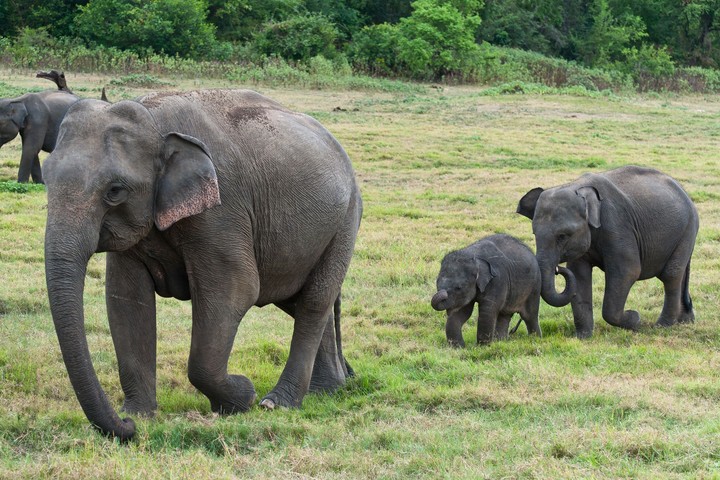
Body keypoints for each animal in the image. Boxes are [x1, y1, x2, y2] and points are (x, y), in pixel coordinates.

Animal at [43, 89, 362, 441]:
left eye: (115, 191)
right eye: (45, 178)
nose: (125, 426)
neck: (153, 119)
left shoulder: (222, 210)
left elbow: (236, 289)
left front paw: (242, 396)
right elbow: (126, 300)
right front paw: (140, 414)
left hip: (346, 220)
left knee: (314, 302)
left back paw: (277, 403)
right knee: (301, 301)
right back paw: (328, 389)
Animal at [517, 165, 698, 338]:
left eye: (563, 236)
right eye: (534, 234)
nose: (558, 269)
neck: (577, 187)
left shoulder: (617, 224)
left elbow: (628, 271)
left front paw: (634, 319)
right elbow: (579, 275)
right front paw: (583, 337)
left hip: (688, 230)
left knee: (671, 274)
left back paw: (663, 325)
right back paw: (685, 321)